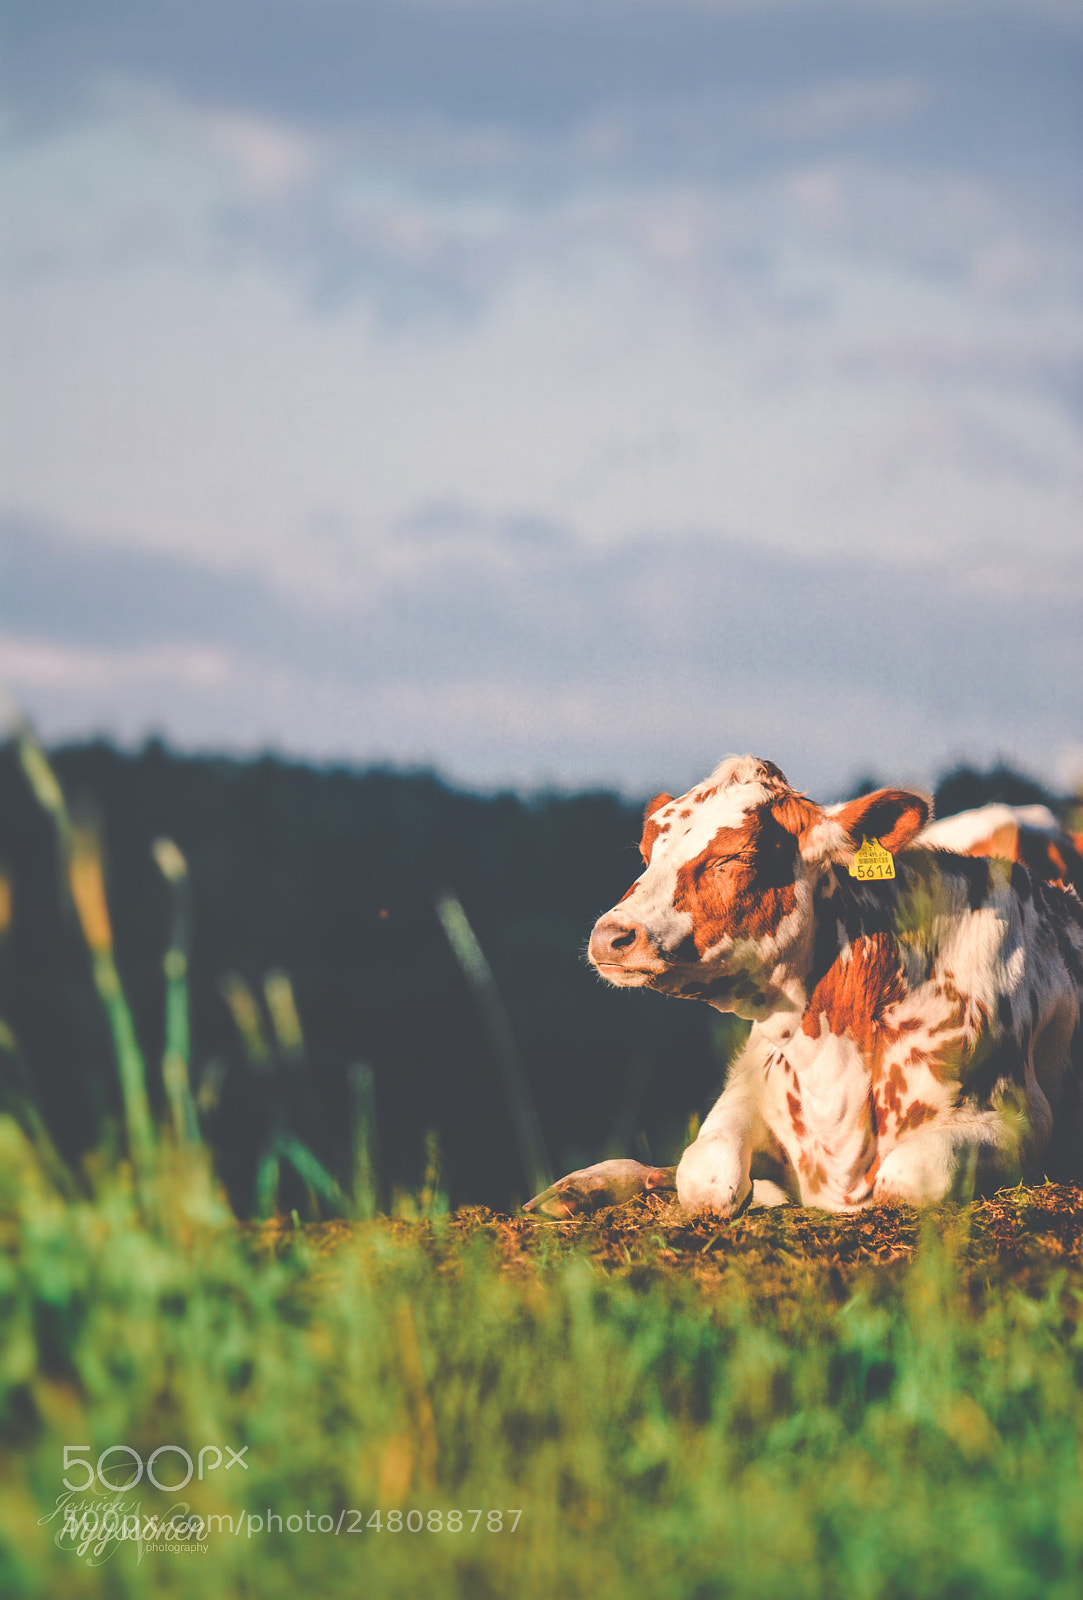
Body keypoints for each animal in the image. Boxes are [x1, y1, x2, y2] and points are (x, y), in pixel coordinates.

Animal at [526, 756, 1083, 1220]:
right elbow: (706, 1173)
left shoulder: (1021, 1121)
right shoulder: (749, 1084)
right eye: (646, 853)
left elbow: (909, 1176)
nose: (609, 936)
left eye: (735, 856)